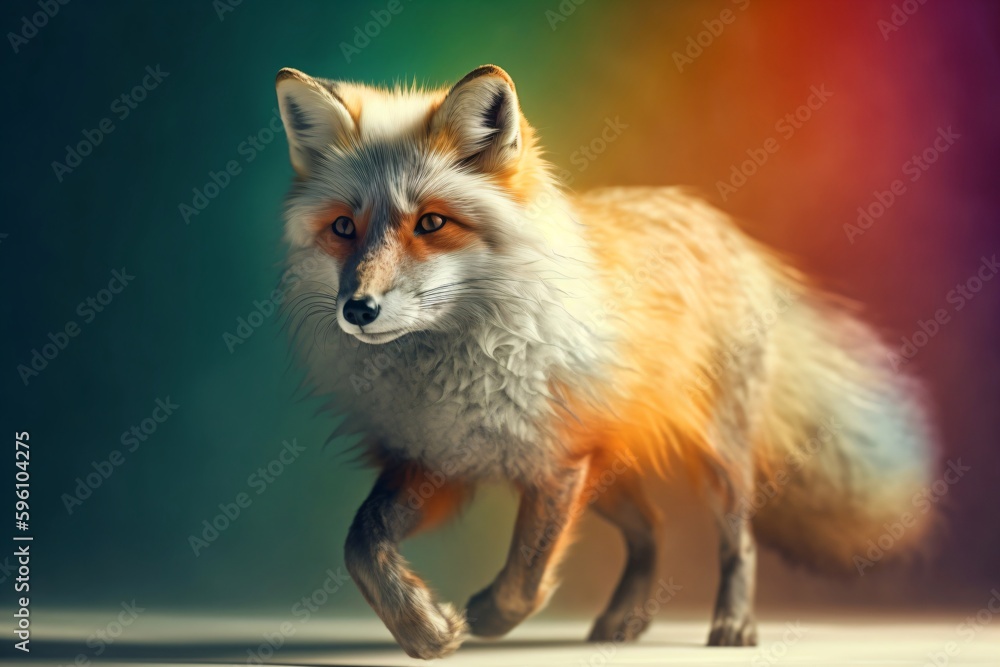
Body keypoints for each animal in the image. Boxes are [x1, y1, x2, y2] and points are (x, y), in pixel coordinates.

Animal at [273, 64, 938, 659]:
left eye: (432, 222)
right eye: (343, 228)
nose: (358, 308)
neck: (458, 371)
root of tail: (715, 220)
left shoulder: (559, 462)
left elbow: (525, 576)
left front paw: (483, 616)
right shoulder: (434, 458)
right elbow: (361, 545)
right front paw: (423, 628)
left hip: (713, 460)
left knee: (737, 541)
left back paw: (732, 625)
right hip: (610, 472)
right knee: (653, 529)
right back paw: (628, 618)